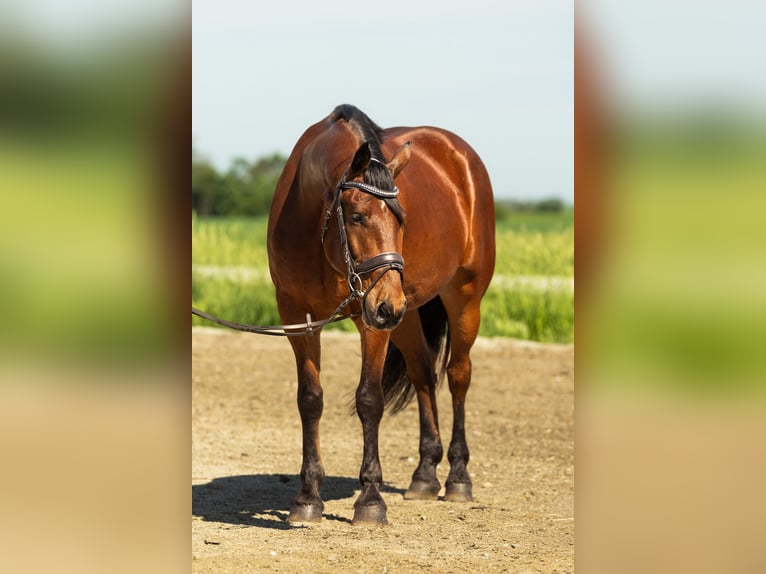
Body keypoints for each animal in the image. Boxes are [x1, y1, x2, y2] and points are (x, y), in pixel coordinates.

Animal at [267, 104, 495, 525]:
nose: (389, 306)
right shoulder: (296, 315)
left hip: (459, 297)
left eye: (402, 218)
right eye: (357, 216)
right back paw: (425, 475)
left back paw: (457, 478)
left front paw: (370, 500)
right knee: (423, 371)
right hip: (405, 313)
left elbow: (369, 399)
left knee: (458, 375)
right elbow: (310, 399)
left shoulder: (369, 319)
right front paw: (307, 498)